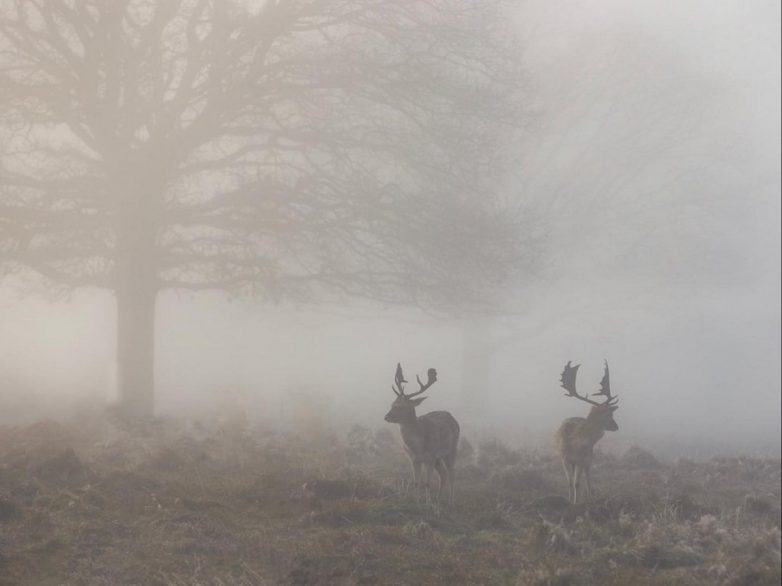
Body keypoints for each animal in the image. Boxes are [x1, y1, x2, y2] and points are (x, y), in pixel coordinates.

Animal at [384, 360, 460, 502]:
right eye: (392, 404)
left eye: (402, 406)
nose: (386, 417)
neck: (417, 446)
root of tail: (452, 416)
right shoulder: (413, 459)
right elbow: (416, 483)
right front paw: (416, 501)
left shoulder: (430, 456)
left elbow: (427, 483)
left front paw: (427, 502)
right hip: (438, 458)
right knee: (443, 474)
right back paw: (438, 498)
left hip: (451, 449)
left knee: (452, 474)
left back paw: (451, 501)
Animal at [556, 360, 620, 502]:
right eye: (610, 415)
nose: (616, 426)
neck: (575, 443)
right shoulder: (564, 458)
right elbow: (570, 483)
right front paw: (570, 501)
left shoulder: (582, 459)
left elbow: (577, 483)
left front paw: (576, 503)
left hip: (589, 458)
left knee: (588, 479)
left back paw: (590, 497)